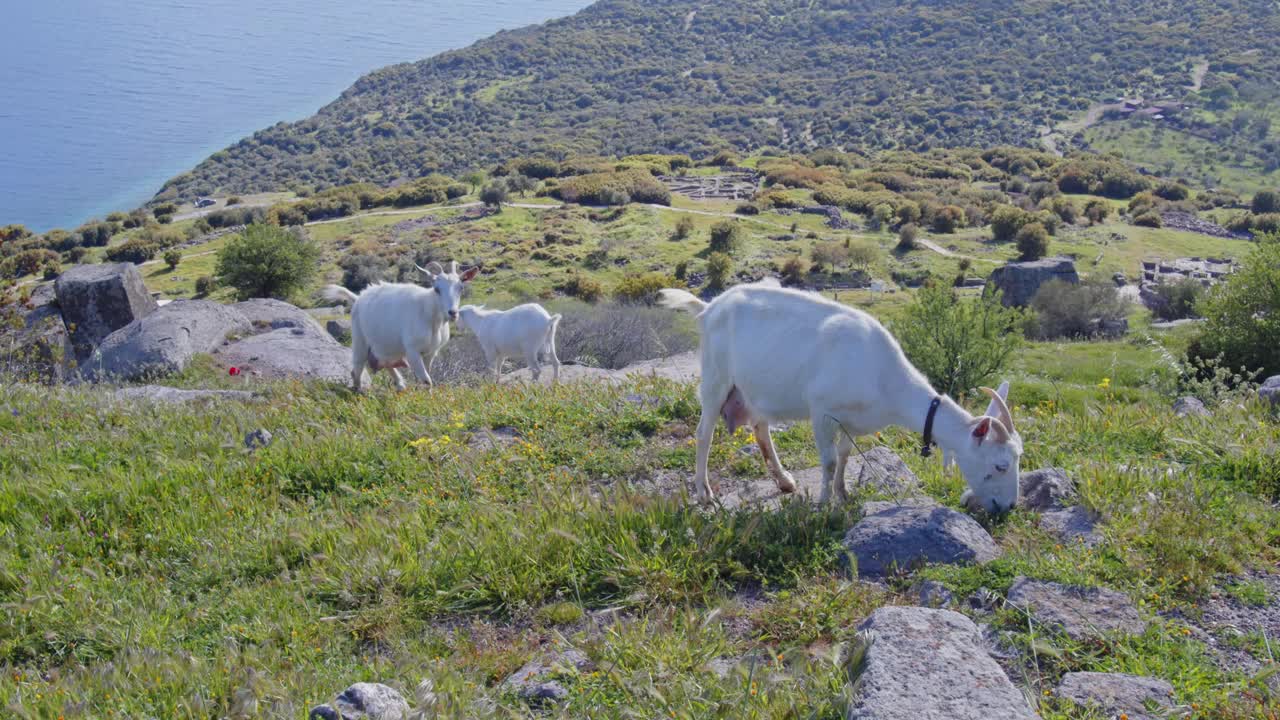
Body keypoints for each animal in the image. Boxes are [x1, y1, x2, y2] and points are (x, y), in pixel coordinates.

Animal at [320, 258, 481, 389]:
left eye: (461, 288)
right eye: (437, 289)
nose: (452, 313)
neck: (429, 314)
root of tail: (358, 298)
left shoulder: (430, 352)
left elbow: (425, 377)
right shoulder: (412, 351)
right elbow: (426, 381)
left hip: (384, 346)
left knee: (385, 363)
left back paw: (400, 385)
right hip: (360, 340)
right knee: (357, 369)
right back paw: (359, 392)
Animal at [655, 280, 1024, 509]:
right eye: (1001, 465)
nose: (1008, 507)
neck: (883, 378)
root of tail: (708, 308)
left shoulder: (853, 420)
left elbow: (845, 455)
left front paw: (843, 494)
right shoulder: (822, 411)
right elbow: (830, 460)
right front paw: (821, 503)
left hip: (751, 388)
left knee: (759, 426)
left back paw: (784, 481)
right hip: (716, 378)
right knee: (704, 433)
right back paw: (704, 493)